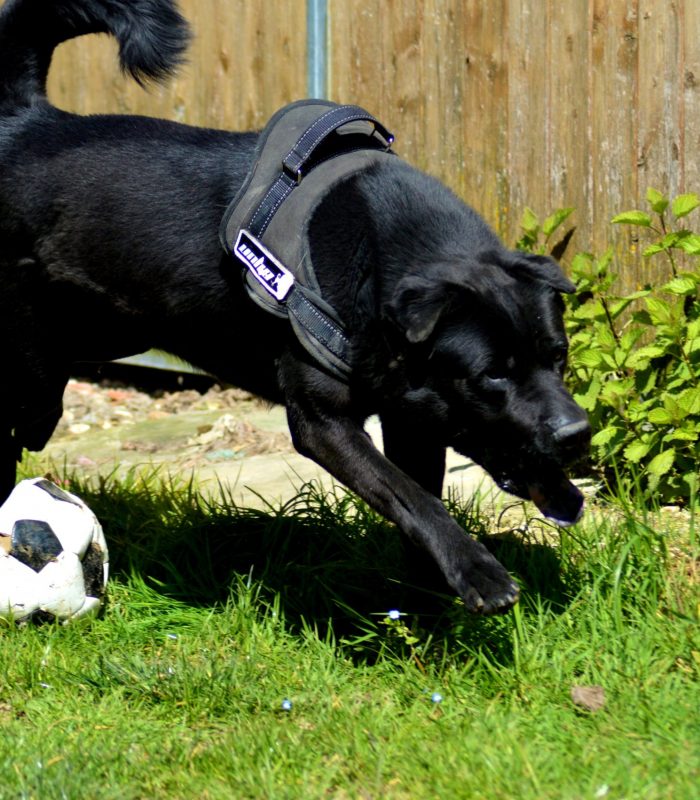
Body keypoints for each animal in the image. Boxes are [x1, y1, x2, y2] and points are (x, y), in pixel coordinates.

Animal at [1, 0, 592, 616]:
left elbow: (418, 506)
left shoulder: (417, 421)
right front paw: (479, 572)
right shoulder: (322, 422)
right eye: (492, 375)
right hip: (32, 376)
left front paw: (428, 605)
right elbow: (411, 497)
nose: (578, 433)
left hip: (103, 334)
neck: (376, 268)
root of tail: (26, 121)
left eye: (559, 356)